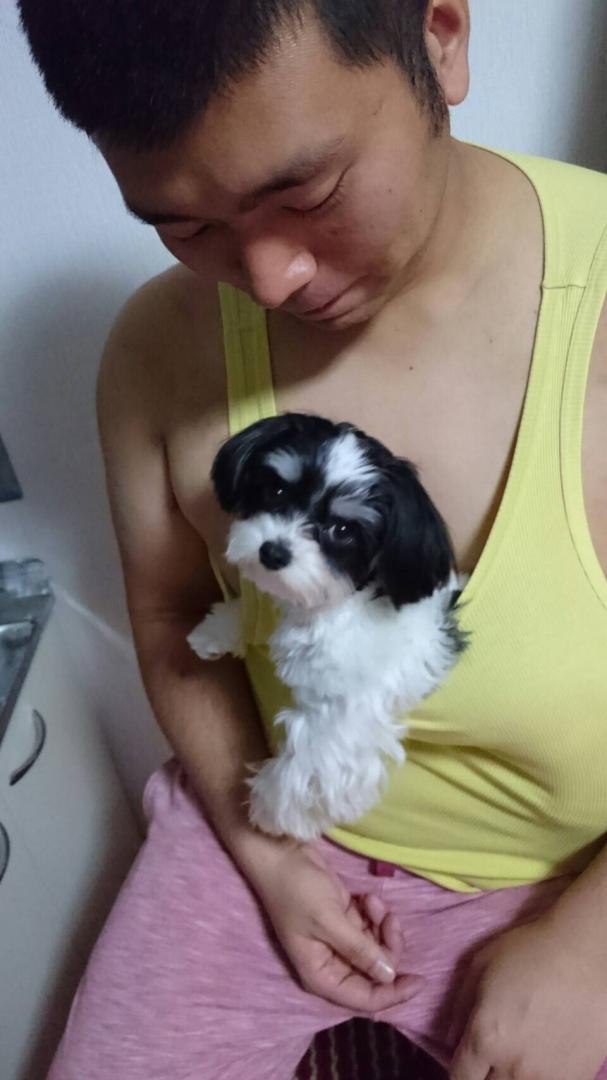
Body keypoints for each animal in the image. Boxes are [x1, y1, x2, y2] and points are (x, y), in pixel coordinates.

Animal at [187, 412, 468, 841]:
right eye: (277, 489)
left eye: (342, 530)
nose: (273, 552)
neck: (337, 609)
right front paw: (219, 628)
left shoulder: (346, 714)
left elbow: (312, 761)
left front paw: (270, 806)